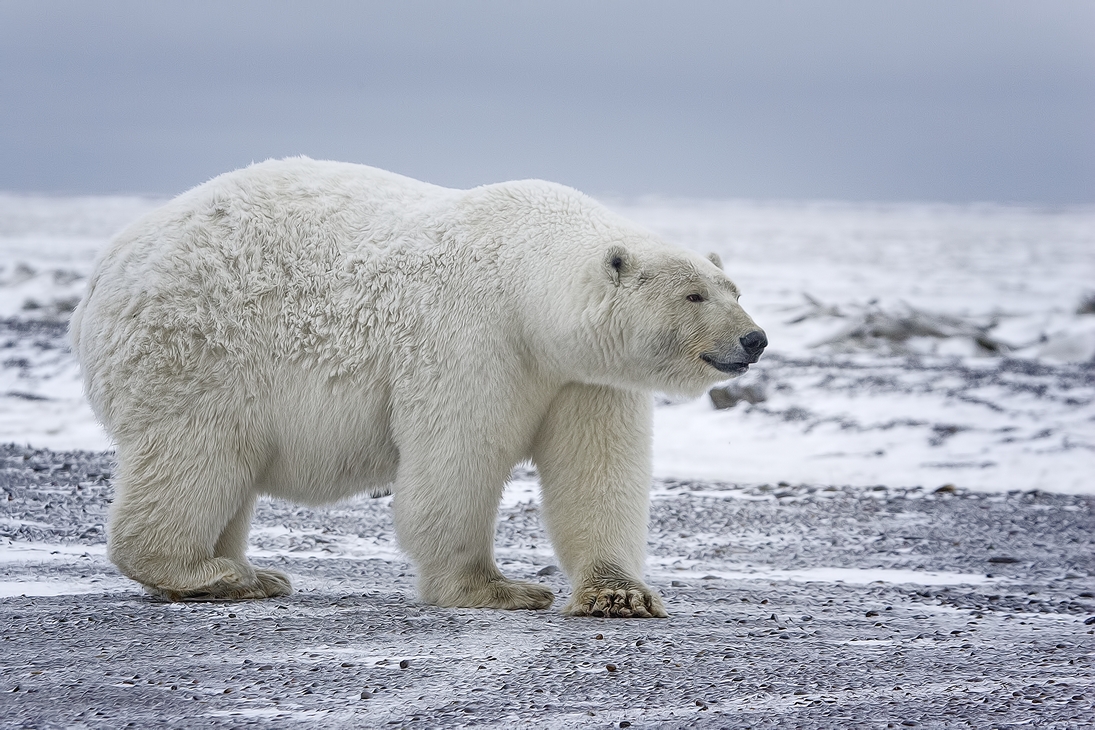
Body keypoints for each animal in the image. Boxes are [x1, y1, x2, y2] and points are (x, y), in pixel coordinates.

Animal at [69, 157, 766, 618]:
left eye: (734, 288)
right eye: (694, 294)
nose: (754, 339)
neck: (527, 287)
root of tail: (105, 268)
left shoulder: (581, 375)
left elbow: (596, 471)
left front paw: (618, 593)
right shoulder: (474, 339)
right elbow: (456, 460)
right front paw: (498, 588)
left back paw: (249, 572)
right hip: (200, 352)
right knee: (195, 456)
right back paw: (208, 573)